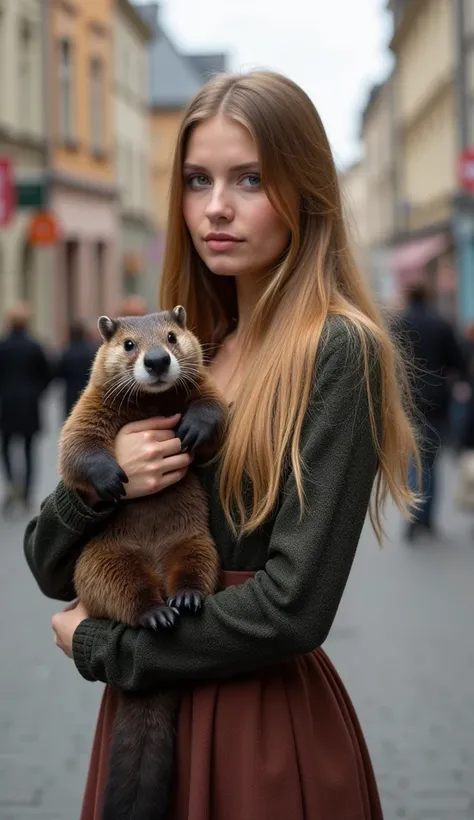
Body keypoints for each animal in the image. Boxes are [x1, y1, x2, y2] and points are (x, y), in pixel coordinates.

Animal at [57, 308, 228, 820]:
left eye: (171, 336)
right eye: (129, 344)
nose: (156, 360)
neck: (147, 410)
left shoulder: (208, 389)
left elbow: (214, 409)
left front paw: (193, 428)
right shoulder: (85, 410)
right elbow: (76, 449)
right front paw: (112, 478)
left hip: (195, 543)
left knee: (190, 575)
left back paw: (184, 600)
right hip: (103, 563)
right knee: (131, 599)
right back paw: (157, 613)